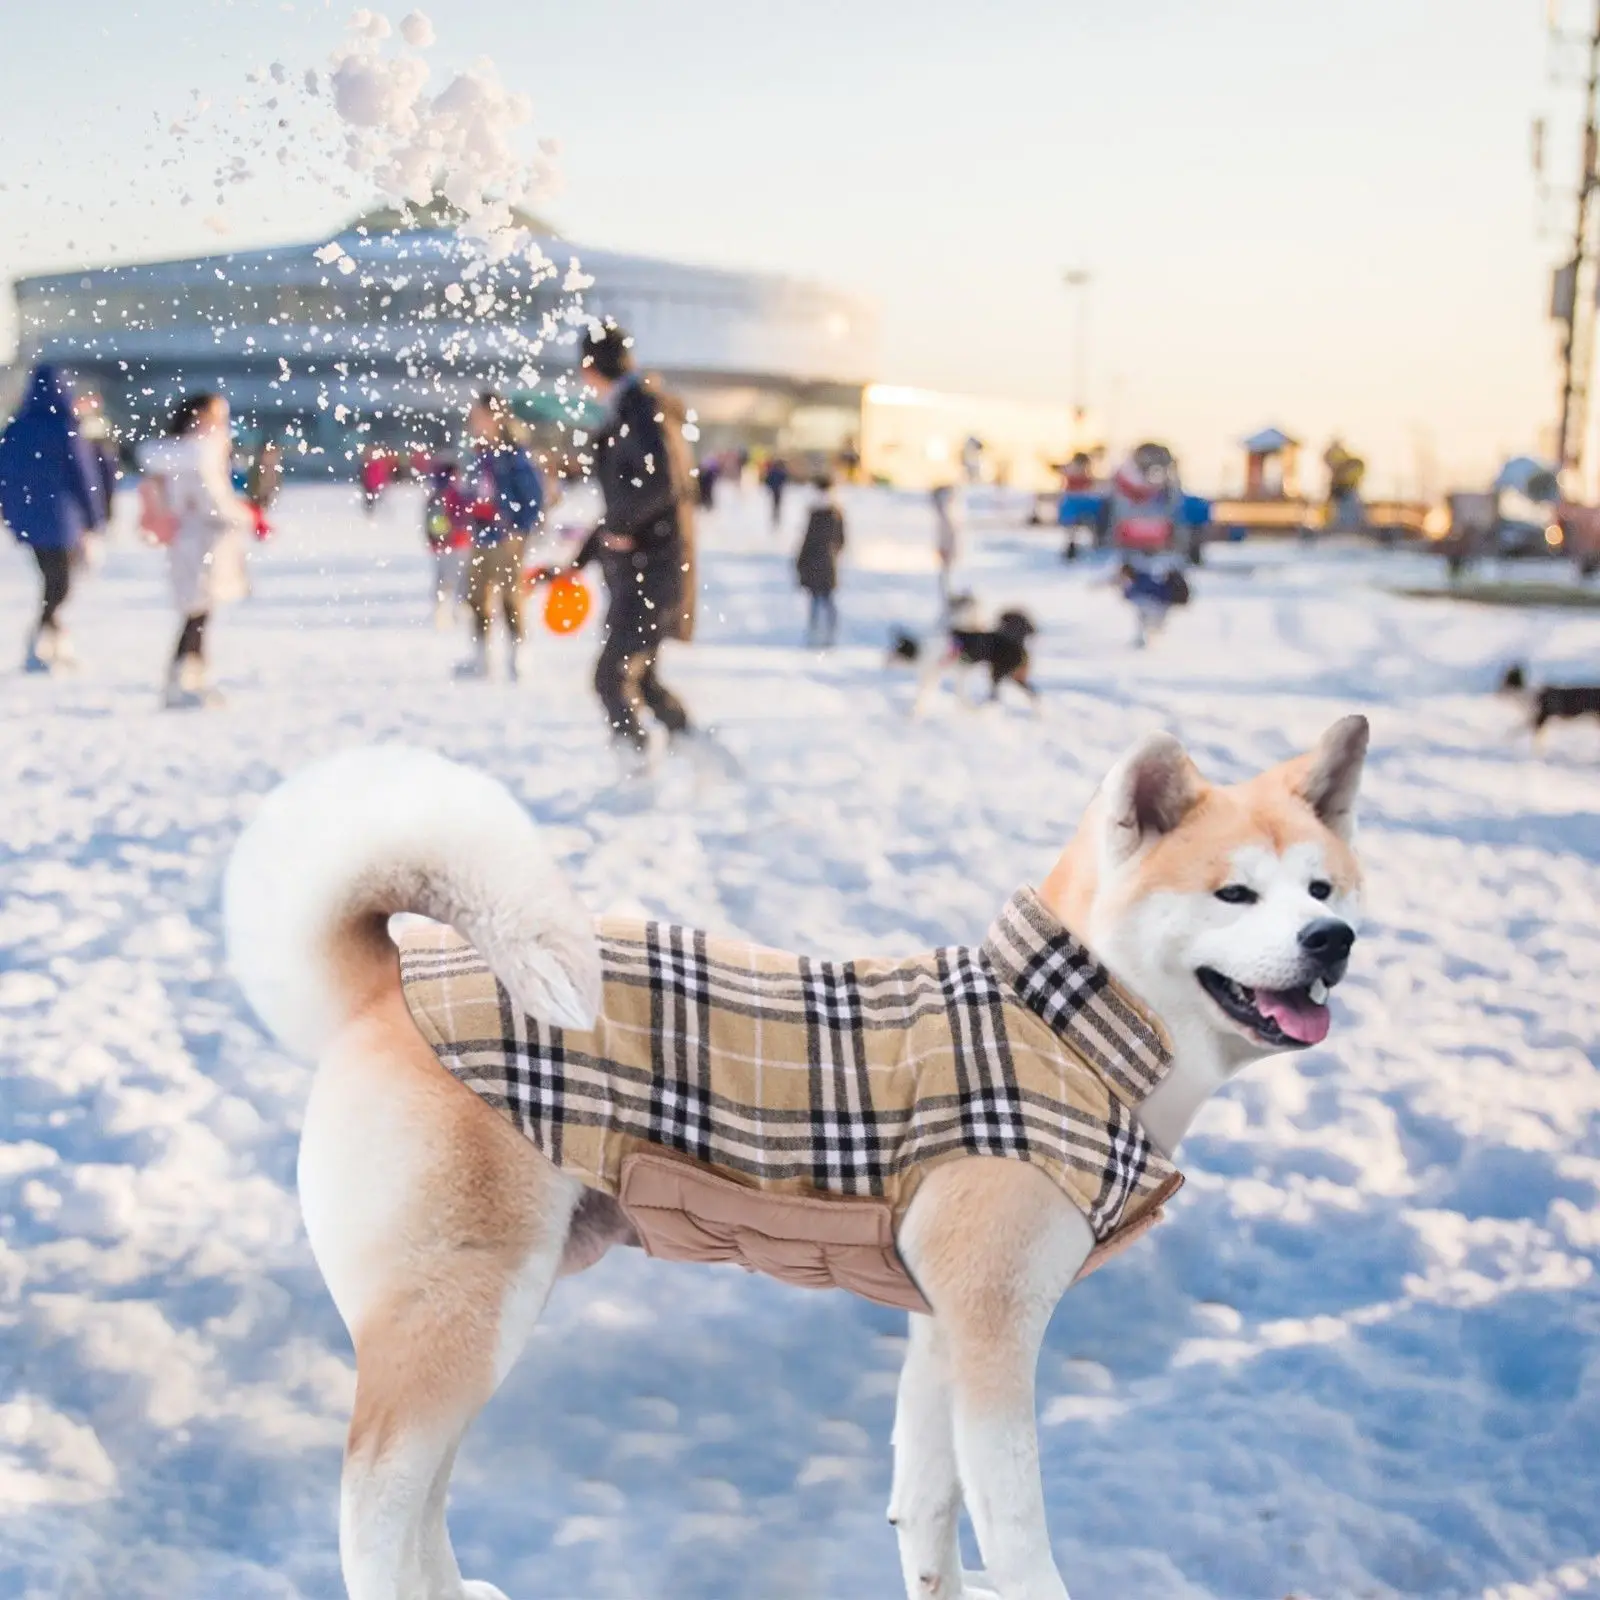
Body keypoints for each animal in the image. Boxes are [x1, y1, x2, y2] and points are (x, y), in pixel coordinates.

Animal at [225, 716, 1369, 1600]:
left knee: (422, 1493)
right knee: (375, 1499)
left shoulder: (940, 1322)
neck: (1070, 1024)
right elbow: (1016, 1527)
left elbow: (927, 1509)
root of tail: (388, 986)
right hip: (461, 1311)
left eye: (1321, 888)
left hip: (487, 1313)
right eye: (1234, 896)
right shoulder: (996, 1331)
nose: (1332, 941)